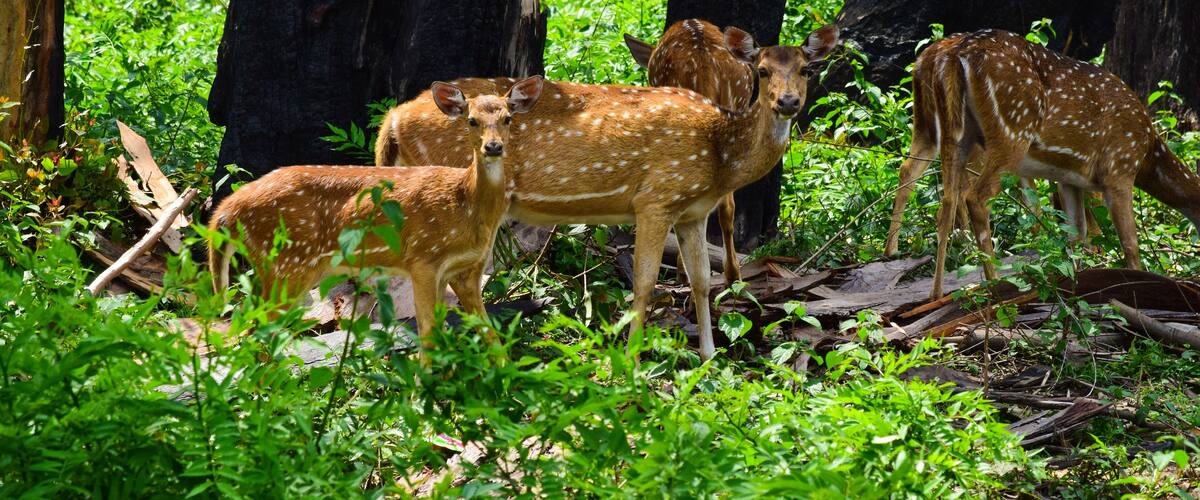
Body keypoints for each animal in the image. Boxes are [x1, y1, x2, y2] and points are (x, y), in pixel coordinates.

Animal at [208, 76, 545, 357]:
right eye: (472, 120)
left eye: (507, 118)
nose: (493, 147)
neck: (466, 204)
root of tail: (225, 211)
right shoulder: (423, 259)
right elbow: (427, 333)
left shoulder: (467, 269)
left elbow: (488, 334)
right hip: (285, 262)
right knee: (256, 330)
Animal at [915, 29, 1200, 299]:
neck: (1149, 153)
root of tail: (957, 54)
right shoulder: (1119, 168)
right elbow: (1130, 242)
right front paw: (1138, 284)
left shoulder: (1070, 180)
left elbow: (1075, 237)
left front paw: (1075, 283)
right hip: (1011, 132)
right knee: (976, 197)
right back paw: (995, 284)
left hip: (957, 135)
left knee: (946, 204)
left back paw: (936, 293)